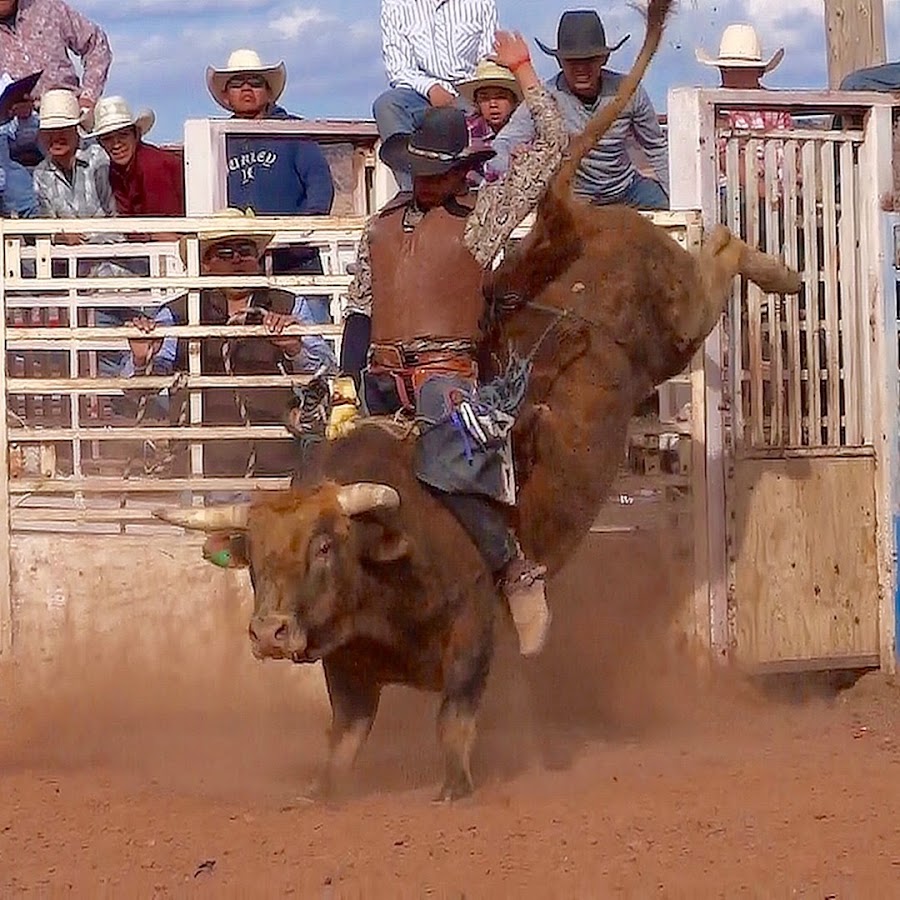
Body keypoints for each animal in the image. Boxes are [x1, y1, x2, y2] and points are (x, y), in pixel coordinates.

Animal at [155, 0, 800, 800]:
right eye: (252, 555)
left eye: (326, 545)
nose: (269, 633)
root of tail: (570, 220)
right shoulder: (348, 673)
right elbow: (341, 749)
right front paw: (321, 793)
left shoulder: (471, 639)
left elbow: (454, 725)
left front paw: (454, 786)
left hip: (677, 325)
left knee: (722, 251)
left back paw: (782, 273)